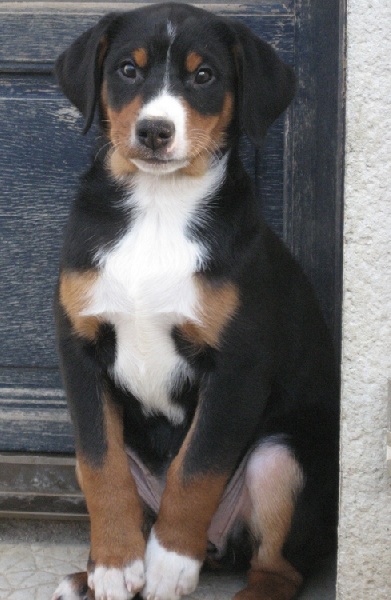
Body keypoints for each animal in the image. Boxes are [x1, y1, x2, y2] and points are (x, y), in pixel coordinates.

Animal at [52, 4, 340, 600]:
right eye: (128, 70)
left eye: (204, 76)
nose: (154, 130)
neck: (158, 206)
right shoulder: (80, 350)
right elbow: (100, 465)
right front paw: (115, 564)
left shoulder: (237, 366)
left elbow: (197, 466)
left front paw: (168, 563)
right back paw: (87, 574)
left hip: (281, 456)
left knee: (277, 568)